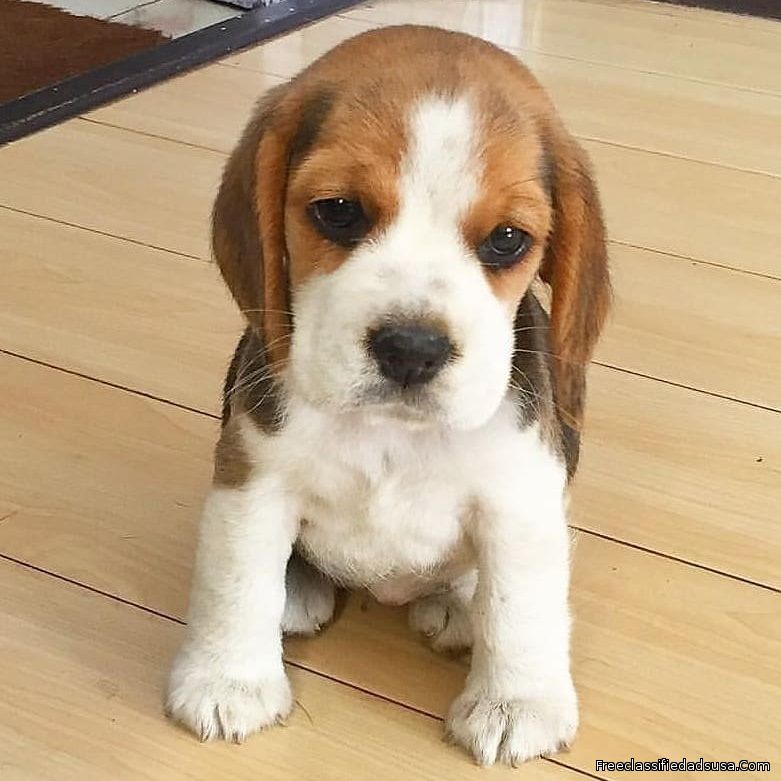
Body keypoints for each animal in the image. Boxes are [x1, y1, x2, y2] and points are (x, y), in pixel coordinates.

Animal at [169, 25, 608, 768]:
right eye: (339, 212)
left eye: (507, 239)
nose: (411, 349)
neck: (394, 433)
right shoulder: (253, 478)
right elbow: (234, 579)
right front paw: (227, 679)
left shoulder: (521, 499)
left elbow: (521, 606)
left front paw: (515, 703)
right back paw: (295, 591)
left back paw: (459, 601)